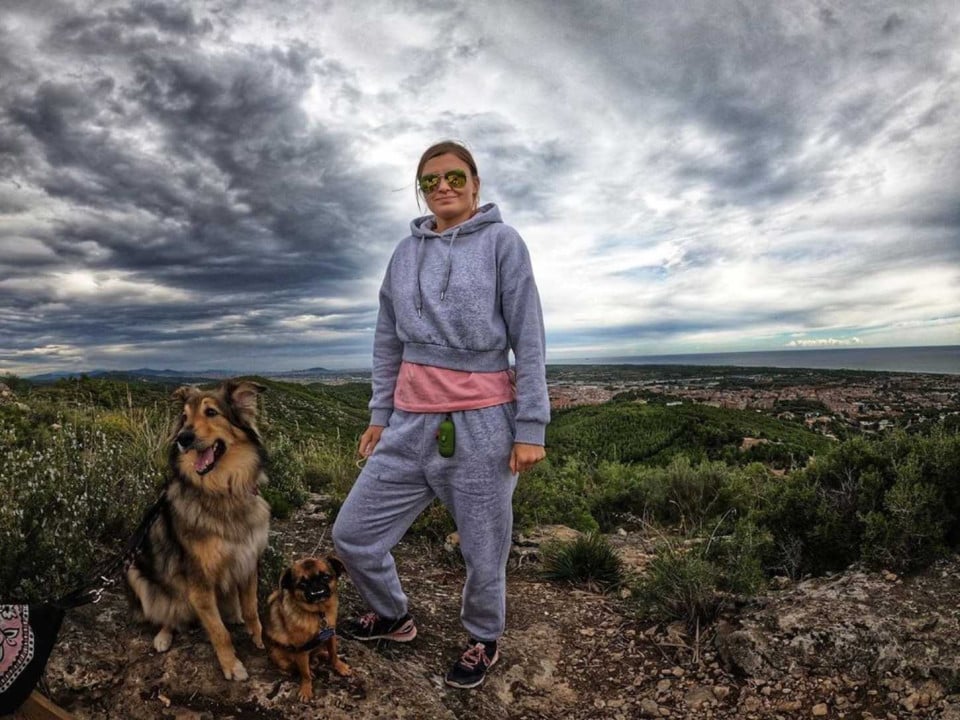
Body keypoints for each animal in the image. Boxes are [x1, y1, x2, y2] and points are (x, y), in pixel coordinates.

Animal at [125, 382, 272, 680]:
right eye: (184, 417)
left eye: (211, 412)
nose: (184, 438)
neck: (223, 491)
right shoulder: (199, 579)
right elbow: (219, 631)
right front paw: (232, 666)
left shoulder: (247, 560)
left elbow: (252, 608)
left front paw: (258, 637)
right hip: (135, 572)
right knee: (168, 614)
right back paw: (163, 636)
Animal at [264, 556, 350, 700]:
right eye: (302, 584)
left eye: (325, 577)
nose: (315, 585)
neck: (318, 613)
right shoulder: (301, 650)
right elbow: (305, 673)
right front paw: (306, 689)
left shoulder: (331, 635)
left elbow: (333, 653)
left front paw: (339, 666)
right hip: (280, 657)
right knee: (294, 667)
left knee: (318, 653)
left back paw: (322, 654)